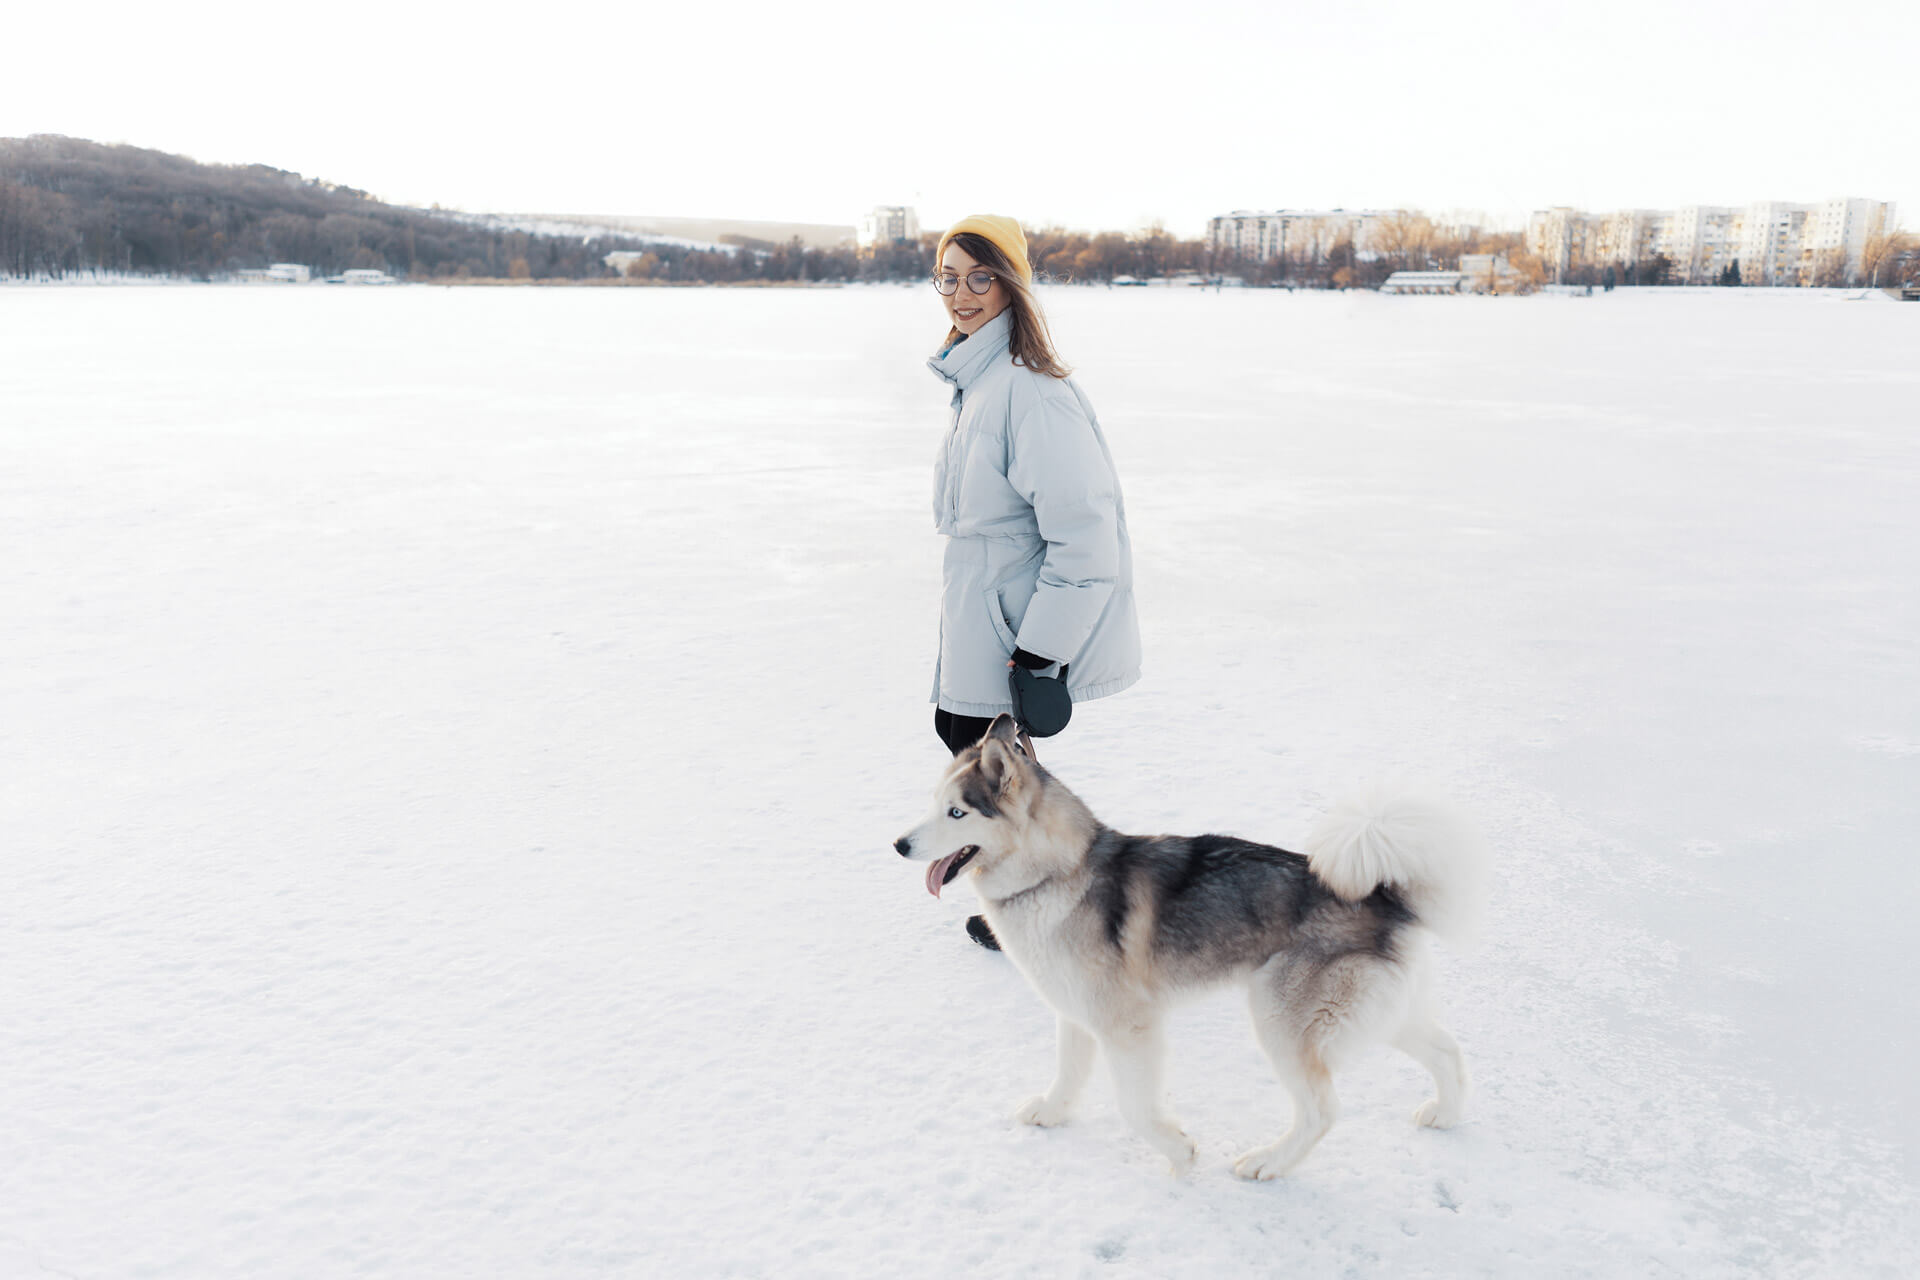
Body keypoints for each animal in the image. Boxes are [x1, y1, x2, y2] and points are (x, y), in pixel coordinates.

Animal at [890, 717, 1489, 1174]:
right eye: (934, 804)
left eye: (957, 813)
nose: (898, 844)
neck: (1060, 873)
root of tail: (1384, 896)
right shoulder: (1075, 1010)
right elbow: (1068, 1073)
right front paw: (1052, 1114)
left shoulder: (1129, 1026)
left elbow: (1134, 1106)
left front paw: (1178, 1152)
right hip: (1380, 1011)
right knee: (1448, 1052)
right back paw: (1446, 1114)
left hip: (1281, 1020)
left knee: (1322, 1111)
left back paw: (1267, 1163)